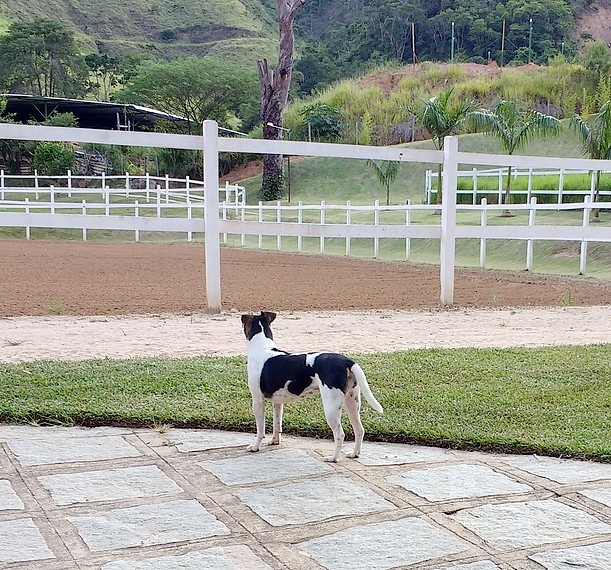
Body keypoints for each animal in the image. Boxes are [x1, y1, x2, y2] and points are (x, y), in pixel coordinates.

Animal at [240, 308, 380, 460]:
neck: (262, 348)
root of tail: (348, 361)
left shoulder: (258, 401)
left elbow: (260, 430)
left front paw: (255, 447)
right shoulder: (277, 402)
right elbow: (277, 425)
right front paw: (274, 441)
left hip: (331, 407)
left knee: (340, 434)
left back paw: (333, 458)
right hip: (352, 402)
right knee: (359, 429)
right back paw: (354, 454)